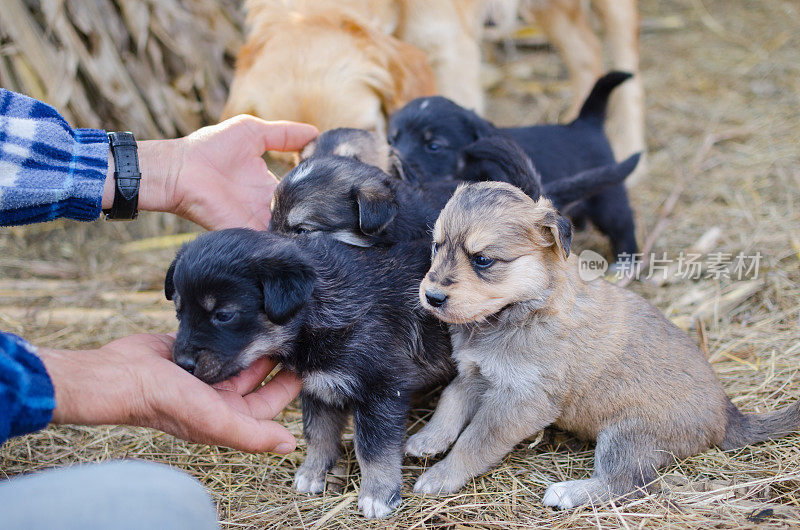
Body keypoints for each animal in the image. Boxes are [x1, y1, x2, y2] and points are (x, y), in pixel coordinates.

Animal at [166, 228, 454, 516]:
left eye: (224, 315)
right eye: (179, 312)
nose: (181, 363)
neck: (320, 306)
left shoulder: (382, 389)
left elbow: (373, 448)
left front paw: (378, 494)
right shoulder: (318, 388)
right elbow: (318, 434)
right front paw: (312, 473)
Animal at [390, 70, 640, 260]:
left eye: (433, 145)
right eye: (391, 140)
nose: (395, 164)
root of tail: (587, 123)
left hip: (607, 198)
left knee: (623, 223)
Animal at [412, 180, 800, 508]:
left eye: (482, 259)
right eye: (437, 245)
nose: (432, 297)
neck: (524, 308)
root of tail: (727, 414)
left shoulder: (521, 402)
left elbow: (474, 441)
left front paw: (441, 476)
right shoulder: (475, 373)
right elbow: (450, 402)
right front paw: (428, 439)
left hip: (626, 436)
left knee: (626, 484)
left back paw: (567, 493)